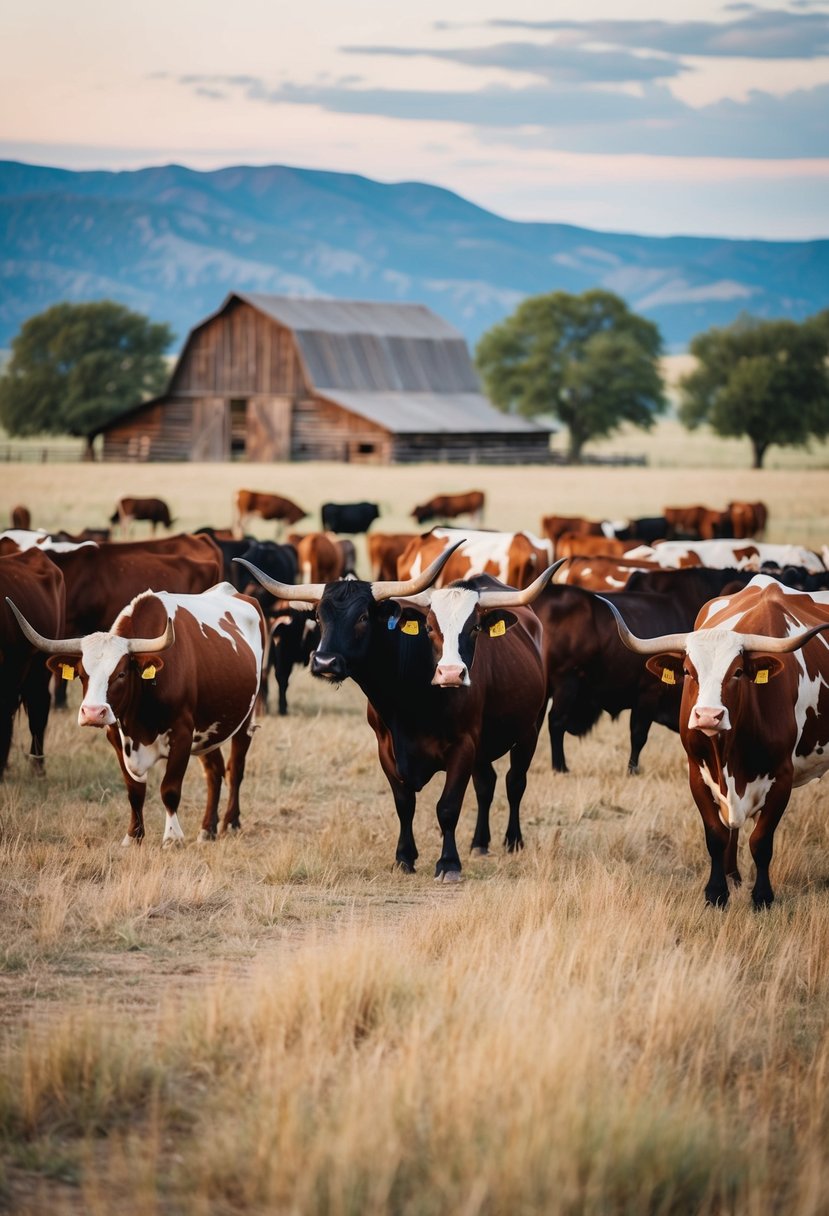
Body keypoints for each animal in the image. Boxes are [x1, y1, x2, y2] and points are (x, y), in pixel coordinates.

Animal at [7, 583, 264, 841]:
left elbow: (170, 789)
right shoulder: (117, 736)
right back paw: (207, 828)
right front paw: (133, 836)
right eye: (81, 674)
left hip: (245, 721)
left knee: (235, 769)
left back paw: (231, 822)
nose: (93, 713)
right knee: (213, 771)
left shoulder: (182, 734)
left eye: (121, 674)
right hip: (208, 730)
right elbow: (135, 791)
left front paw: (172, 837)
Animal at [532, 564, 753, 773]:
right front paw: (632, 770)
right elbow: (638, 734)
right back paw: (560, 767)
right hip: (566, 683)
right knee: (556, 722)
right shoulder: (650, 691)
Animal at [600, 573, 826, 909]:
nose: (708, 716)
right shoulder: (697, 773)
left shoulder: (782, 777)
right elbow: (716, 835)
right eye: (687, 670)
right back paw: (733, 876)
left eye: (737, 672)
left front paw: (762, 897)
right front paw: (717, 892)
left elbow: (761, 842)